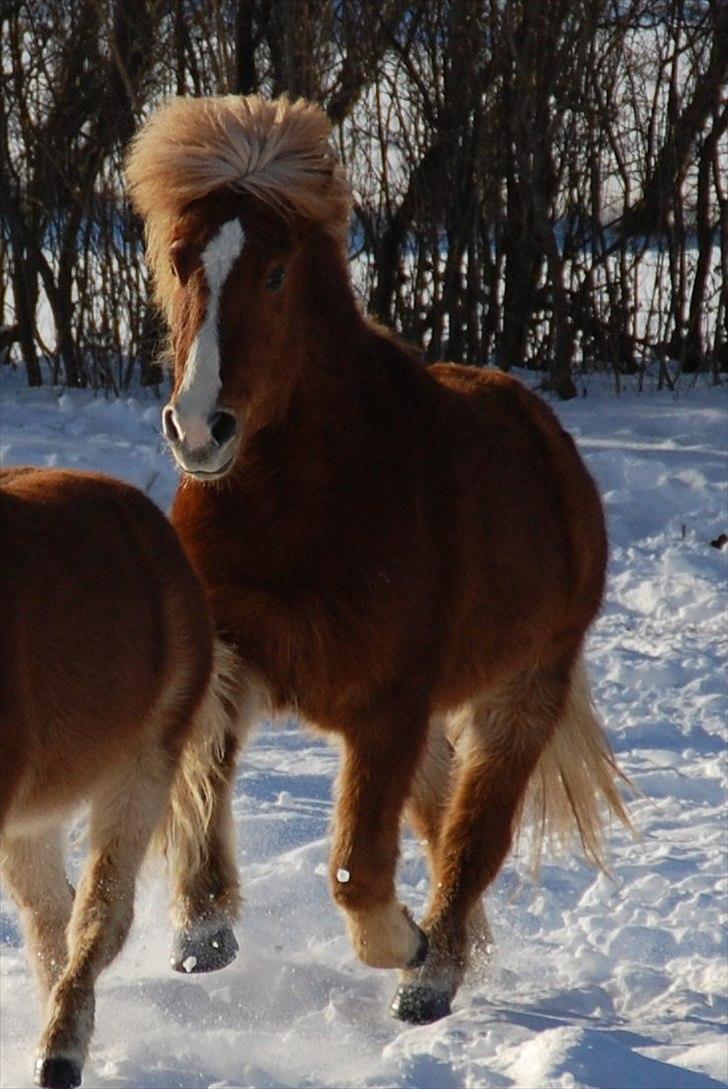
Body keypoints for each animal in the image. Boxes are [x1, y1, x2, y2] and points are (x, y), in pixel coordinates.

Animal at [126, 91, 631, 1019]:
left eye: (277, 274)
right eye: (181, 262)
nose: (200, 430)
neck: (305, 507)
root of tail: (546, 435)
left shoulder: (387, 706)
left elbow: (356, 869)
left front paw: (402, 944)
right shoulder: (232, 659)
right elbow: (201, 787)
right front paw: (202, 930)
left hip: (521, 692)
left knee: (474, 835)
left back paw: (432, 972)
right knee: (438, 820)